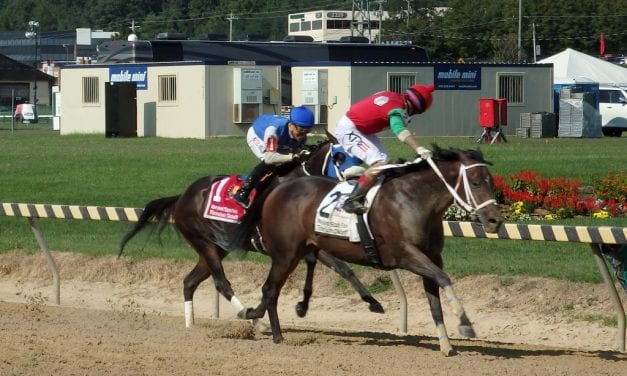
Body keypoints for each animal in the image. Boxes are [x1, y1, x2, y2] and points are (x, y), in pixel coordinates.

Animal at [118, 139, 382, 328]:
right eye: (340, 156)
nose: (358, 177)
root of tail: (182, 196)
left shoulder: (306, 242)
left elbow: (343, 268)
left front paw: (373, 302)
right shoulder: (284, 247)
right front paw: (265, 311)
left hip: (216, 247)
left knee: (190, 281)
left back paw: (191, 324)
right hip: (204, 243)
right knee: (221, 283)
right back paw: (252, 319)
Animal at [233, 145, 502, 356]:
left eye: (492, 181)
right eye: (476, 182)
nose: (494, 221)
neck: (413, 200)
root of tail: (276, 190)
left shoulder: (432, 257)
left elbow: (435, 299)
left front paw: (446, 345)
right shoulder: (404, 254)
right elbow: (444, 278)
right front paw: (465, 324)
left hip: (303, 248)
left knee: (271, 288)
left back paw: (255, 314)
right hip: (286, 253)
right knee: (270, 289)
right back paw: (277, 335)